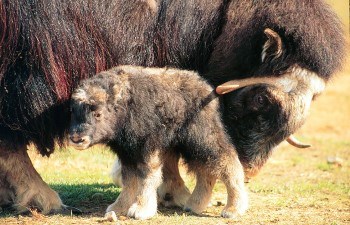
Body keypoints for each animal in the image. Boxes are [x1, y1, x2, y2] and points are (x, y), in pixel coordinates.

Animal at [69, 65, 249, 220]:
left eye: (98, 113)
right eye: (74, 112)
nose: (77, 139)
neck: (124, 105)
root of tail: (207, 89)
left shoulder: (147, 148)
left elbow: (148, 176)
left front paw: (140, 210)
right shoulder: (127, 153)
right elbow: (129, 181)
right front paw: (118, 207)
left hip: (203, 138)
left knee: (227, 162)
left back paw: (233, 209)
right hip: (191, 147)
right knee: (206, 171)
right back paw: (193, 205)